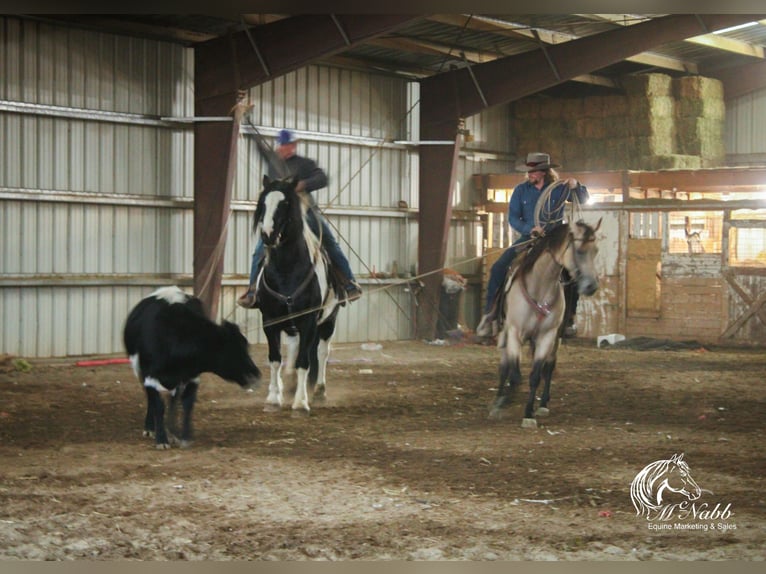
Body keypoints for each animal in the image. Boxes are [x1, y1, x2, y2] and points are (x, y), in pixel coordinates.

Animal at [123, 288, 260, 450]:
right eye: (232, 351)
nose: (256, 374)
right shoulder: (150, 376)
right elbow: (158, 405)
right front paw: (161, 439)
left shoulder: (192, 376)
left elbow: (186, 404)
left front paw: (182, 436)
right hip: (139, 371)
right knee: (151, 399)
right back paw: (151, 428)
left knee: (173, 400)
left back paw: (172, 430)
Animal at [488, 219, 604, 428]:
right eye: (580, 250)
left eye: (596, 250)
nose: (591, 286)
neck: (540, 287)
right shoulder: (514, 332)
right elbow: (514, 374)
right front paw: (502, 401)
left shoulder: (547, 336)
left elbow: (535, 375)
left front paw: (528, 413)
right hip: (507, 333)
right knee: (505, 366)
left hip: (555, 337)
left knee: (548, 367)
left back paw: (542, 404)